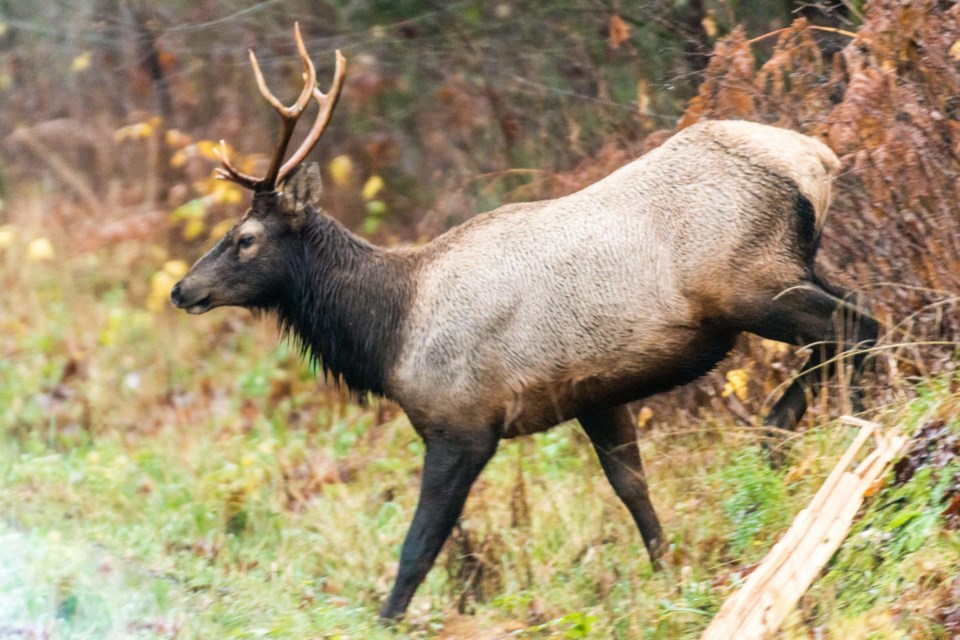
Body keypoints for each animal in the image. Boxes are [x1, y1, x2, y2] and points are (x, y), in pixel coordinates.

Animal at [171, 25, 876, 620]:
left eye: (245, 239)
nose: (182, 289)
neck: (389, 333)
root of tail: (818, 157)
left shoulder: (462, 422)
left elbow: (418, 546)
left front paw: (387, 620)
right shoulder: (596, 392)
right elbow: (634, 490)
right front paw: (670, 579)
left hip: (751, 282)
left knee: (858, 326)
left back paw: (818, 433)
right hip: (787, 271)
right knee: (852, 322)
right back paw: (797, 437)